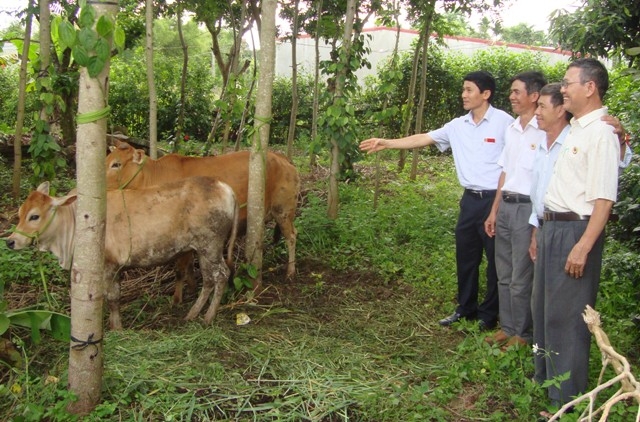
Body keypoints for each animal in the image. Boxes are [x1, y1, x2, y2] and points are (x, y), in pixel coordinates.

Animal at [6, 177, 238, 330]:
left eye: (34, 216)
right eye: (19, 213)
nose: (11, 241)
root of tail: (226, 188)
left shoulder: (110, 265)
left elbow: (112, 298)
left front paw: (117, 328)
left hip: (211, 245)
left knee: (222, 275)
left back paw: (208, 317)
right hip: (203, 250)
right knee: (208, 279)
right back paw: (192, 314)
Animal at [106, 142, 302, 294]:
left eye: (116, 164)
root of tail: (280, 156)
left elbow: (181, 268)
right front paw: (192, 287)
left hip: (284, 210)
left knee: (292, 236)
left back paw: (291, 271)